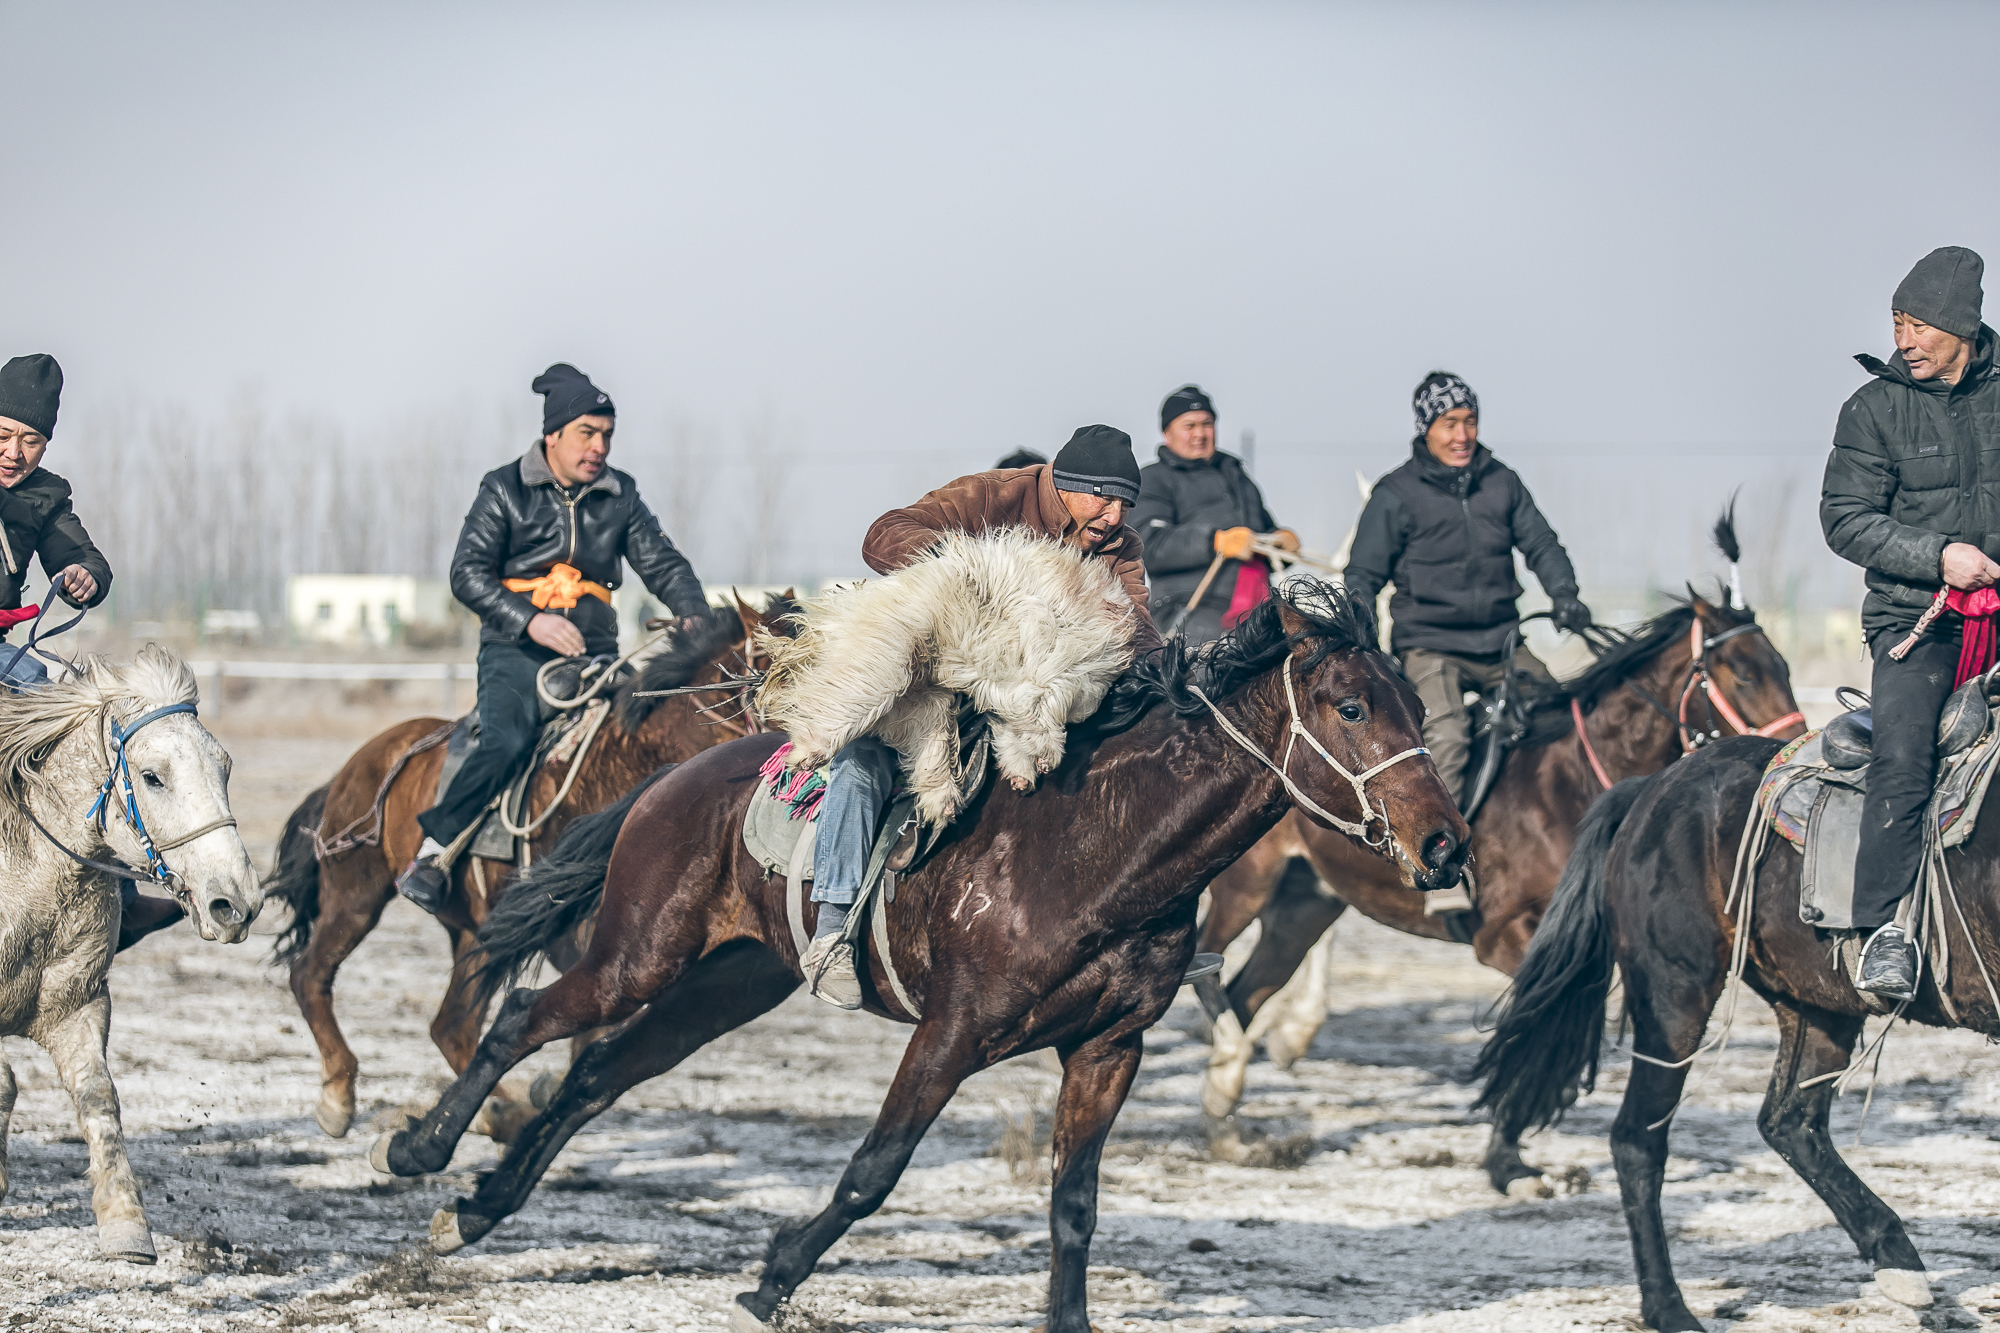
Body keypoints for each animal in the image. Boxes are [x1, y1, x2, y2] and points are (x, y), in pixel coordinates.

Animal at [0, 648, 260, 1264]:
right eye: (152, 776)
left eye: (224, 768)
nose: (236, 903)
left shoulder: (78, 1004)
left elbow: (98, 1099)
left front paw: (126, 1225)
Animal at [264, 596, 788, 1136]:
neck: (622, 763)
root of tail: (359, 764)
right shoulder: (581, 932)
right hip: (356, 895)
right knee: (311, 975)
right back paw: (340, 1096)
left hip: (473, 931)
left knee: (452, 1027)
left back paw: (495, 1112)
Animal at [372, 580, 1472, 1328]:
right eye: (1349, 706)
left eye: (1417, 707)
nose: (1445, 845)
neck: (1097, 844)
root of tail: (675, 777)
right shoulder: (953, 1030)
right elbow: (874, 1169)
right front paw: (771, 1278)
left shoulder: (1107, 1049)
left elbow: (1074, 1204)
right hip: (641, 950)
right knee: (527, 1018)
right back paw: (420, 1152)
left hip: (730, 981)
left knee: (600, 1070)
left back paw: (481, 1206)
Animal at [1192, 588, 1808, 1184]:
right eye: (1743, 674)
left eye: (1783, 666)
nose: (1790, 754)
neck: (1566, 785)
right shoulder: (1505, 937)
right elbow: (1529, 1022)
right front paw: (1506, 1161)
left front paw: (1510, 1151)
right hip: (1246, 887)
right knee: (1211, 966)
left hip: (1305, 905)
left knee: (1246, 992)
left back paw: (1228, 1123)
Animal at [1472, 732, 1984, 1320]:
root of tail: (1652, 787)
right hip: (1675, 1000)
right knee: (1638, 1141)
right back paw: (1668, 1308)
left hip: (1818, 1004)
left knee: (1791, 1123)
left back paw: (1897, 1260)